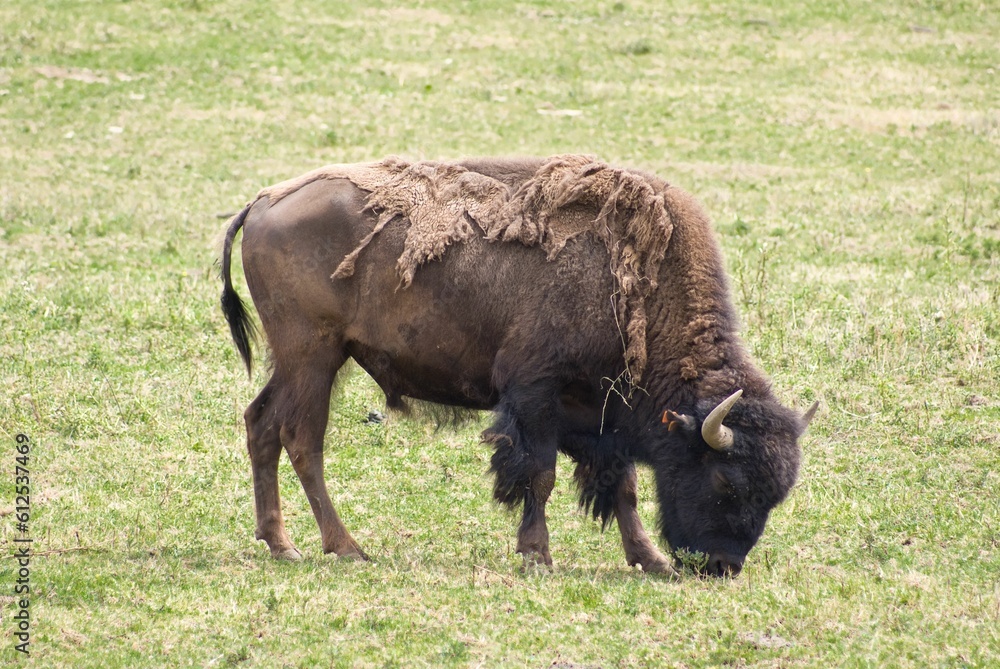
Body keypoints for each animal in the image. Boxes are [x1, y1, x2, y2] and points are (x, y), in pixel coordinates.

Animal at [219, 154, 812, 576]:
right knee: (301, 438)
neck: (639, 288)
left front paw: (650, 560)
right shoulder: (535, 394)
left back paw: (281, 544)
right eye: (725, 481)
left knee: (260, 424)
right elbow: (539, 475)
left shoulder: (602, 415)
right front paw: (538, 555)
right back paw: (345, 548)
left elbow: (621, 488)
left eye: (776, 493)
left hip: (296, 362)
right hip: (314, 357)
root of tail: (263, 202)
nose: (723, 567)